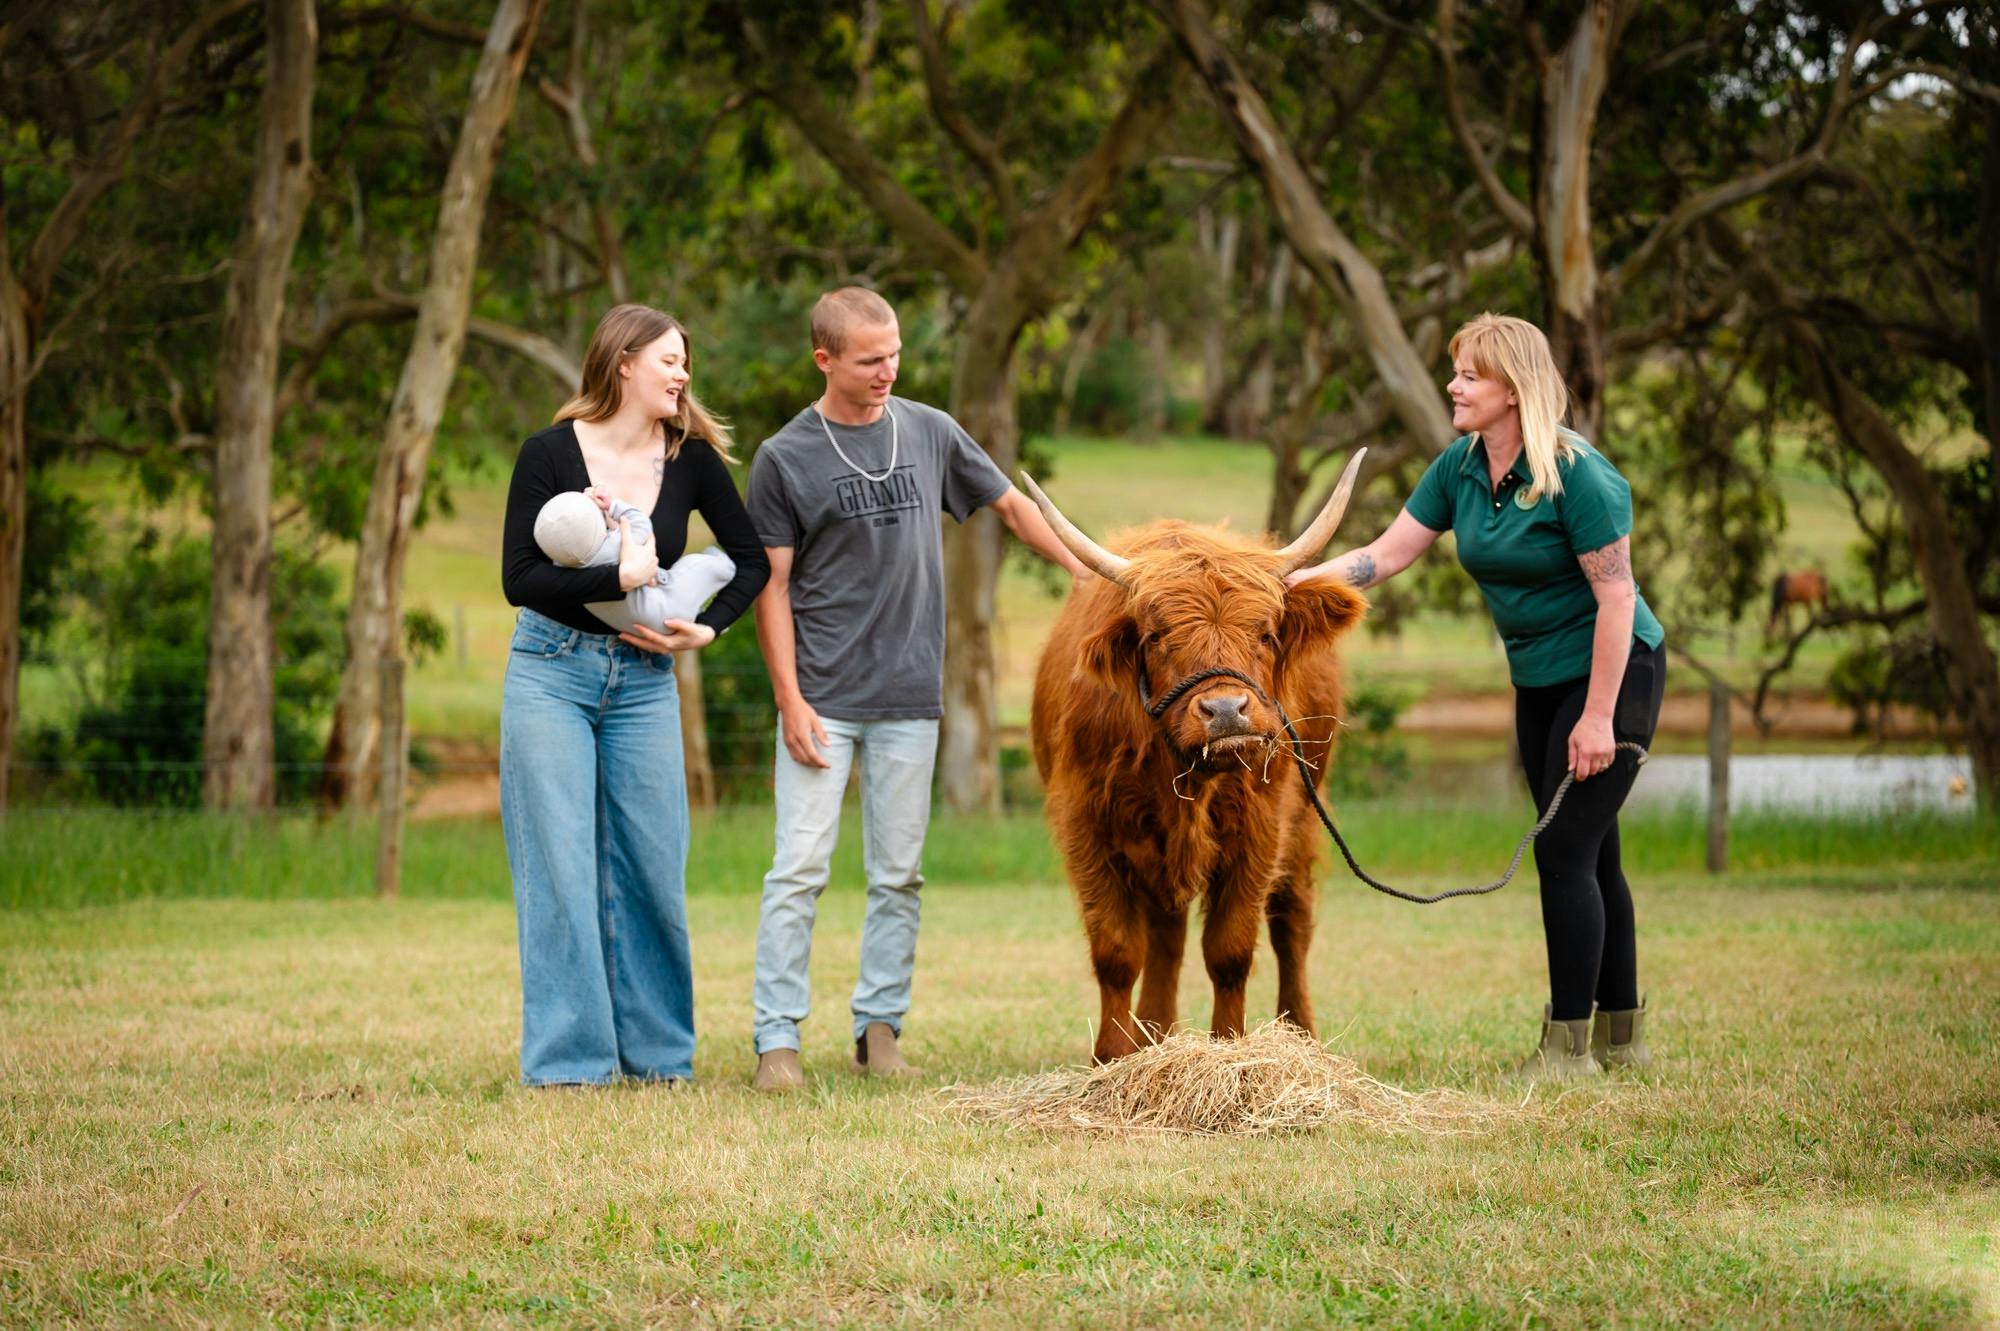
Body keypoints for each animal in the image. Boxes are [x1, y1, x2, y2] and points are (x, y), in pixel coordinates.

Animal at [1024, 456, 1368, 1064]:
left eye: (1266, 633)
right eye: (1156, 636)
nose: (1226, 711)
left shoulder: (1260, 827)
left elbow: (1230, 951)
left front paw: (1229, 1048)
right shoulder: (1086, 825)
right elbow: (1117, 952)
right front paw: (1113, 1057)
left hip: (1307, 813)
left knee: (1291, 923)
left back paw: (1301, 1034)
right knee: (1167, 936)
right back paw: (1154, 1034)